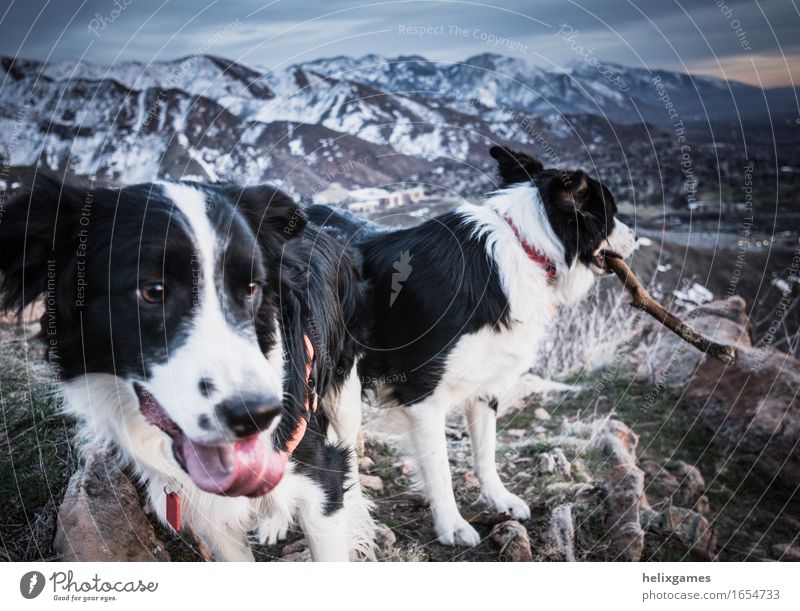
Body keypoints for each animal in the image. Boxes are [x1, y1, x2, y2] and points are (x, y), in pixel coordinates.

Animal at [308, 147, 636, 544]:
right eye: (612, 213)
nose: (636, 236)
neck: (525, 247)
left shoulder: (487, 384)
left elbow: (485, 451)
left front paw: (499, 499)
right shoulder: (422, 395)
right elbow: (440, 468)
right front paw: (452, 524)